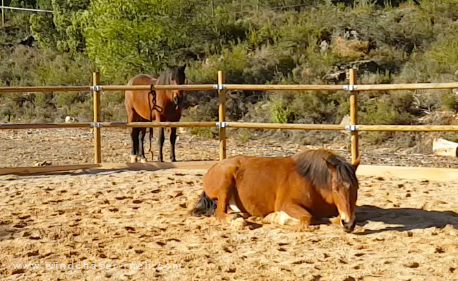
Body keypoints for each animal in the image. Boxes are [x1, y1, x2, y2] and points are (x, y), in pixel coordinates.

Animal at [191, 149, 360, 232]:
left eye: (356, 188)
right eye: (335, 188)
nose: (349, 224)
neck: (311, 180)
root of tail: (213, 167)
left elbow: (332, 218)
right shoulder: (286, 204)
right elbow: (307, 218)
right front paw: (275, 218)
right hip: (224, 185)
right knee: (219, 214)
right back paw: (238, 219)